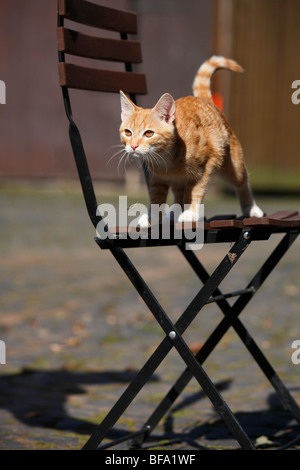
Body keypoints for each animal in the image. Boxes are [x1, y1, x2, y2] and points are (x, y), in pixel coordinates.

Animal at [118, 55, 264, 226]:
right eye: (128, 132)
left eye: (148, 133)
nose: (133, 146)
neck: (165, 159)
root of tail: (204, 99)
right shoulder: (157, 179)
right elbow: (156, 198)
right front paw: (152, 217)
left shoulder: (205, 167)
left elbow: (194, 191)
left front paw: (189, 213)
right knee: (178, 192)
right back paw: (174, 212)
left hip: (231, 164)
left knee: (241, 182)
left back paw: (251, 208)